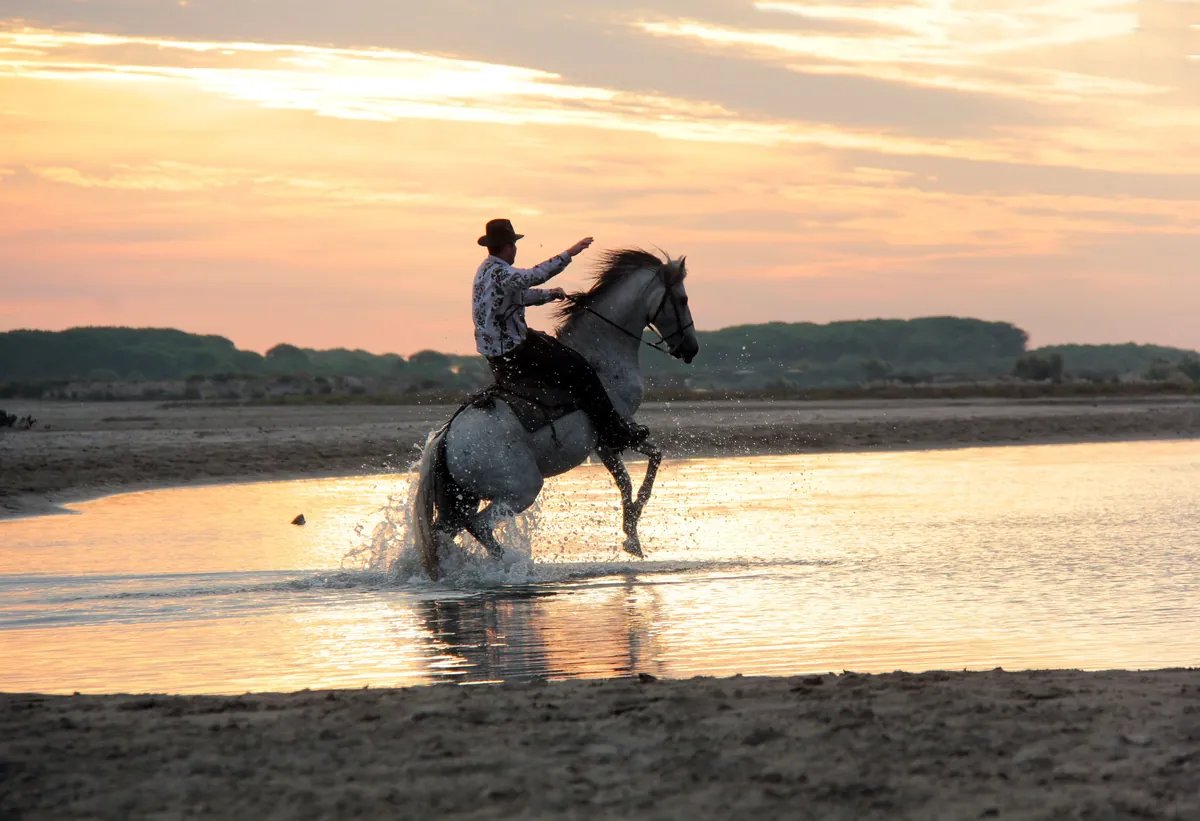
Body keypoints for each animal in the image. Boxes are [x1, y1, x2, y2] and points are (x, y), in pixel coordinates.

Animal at [411, 248, 700, 580]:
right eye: (683, 299)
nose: (692, 348)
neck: (602, 353)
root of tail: (445, 440)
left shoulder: (605, 441)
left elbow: (635, 473)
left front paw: (631, 536)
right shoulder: (613, 434)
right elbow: (643, 467)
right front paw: (631, 532)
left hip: (460, 502)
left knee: (444, 534)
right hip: (519, 491)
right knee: (480, 527)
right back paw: (511, 567)